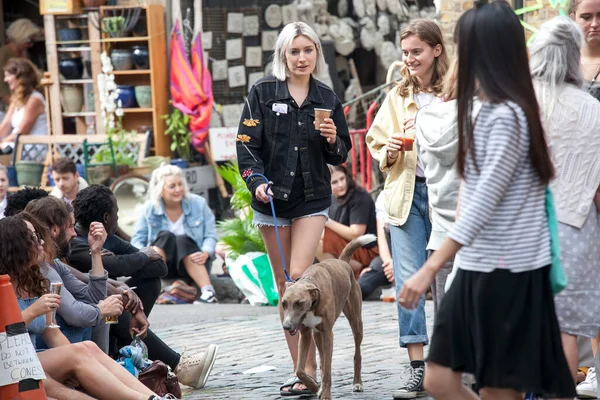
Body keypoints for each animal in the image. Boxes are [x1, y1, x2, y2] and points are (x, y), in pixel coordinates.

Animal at [280, 234, 376, 400]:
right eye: (284, 303)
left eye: (299, 303)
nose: (286, 326)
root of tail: (342, 262)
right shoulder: (306, 334)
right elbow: (301, 369)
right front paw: (313, 387)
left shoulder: (328, 333)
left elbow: (327, 369)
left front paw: (325, 394)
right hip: (317, 335)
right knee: (322, 359)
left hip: (356, 323)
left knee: (356, 355)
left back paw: (357, 383)